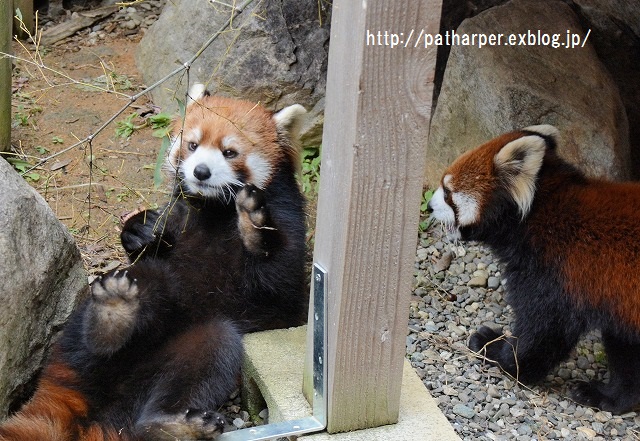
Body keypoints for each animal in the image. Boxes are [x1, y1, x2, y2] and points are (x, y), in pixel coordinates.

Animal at [0, 84, 310, 438]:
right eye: (192, 145)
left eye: (229, 152)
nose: (200, 171)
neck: (215, 209)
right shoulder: (178, 215)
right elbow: (151, 239)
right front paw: (139, 229)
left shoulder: (287, 230)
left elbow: (278, 276)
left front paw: (255, 226)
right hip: (80, 339)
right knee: (145, 284)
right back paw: (111, 317)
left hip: (193, 348)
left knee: (210, 350)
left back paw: (172, 425)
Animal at [428, 125, 640, 414]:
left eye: (448, 191)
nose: (429, 205)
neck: (536, 213)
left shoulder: (556, 270)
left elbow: (544, 329)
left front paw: (497, 352)